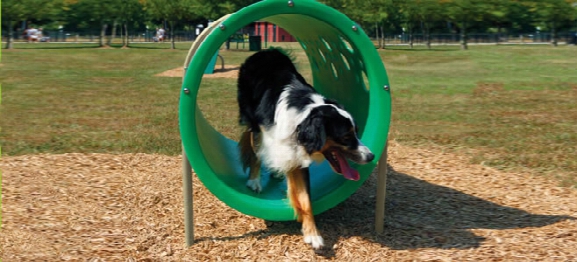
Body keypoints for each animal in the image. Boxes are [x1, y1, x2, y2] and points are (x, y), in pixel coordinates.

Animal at [235, 48, 374, 250]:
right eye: (346, 137)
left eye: (356, 131)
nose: (371, 156)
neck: (304, 116)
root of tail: (266, 51)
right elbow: (258, 155)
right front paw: (254, 180)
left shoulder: (297, 156)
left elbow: (305, 200)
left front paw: (313, 235)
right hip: (253, 120)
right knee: (256, 151)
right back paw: (255, 180)